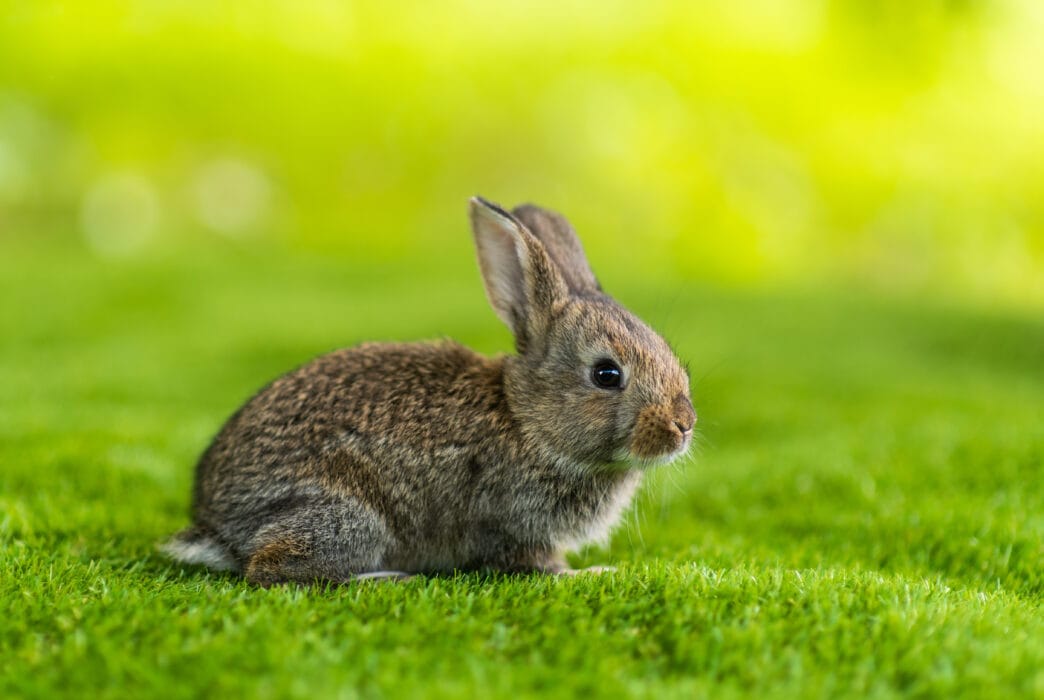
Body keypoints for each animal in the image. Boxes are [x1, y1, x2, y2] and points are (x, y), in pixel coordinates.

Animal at [162, 197, 696, 585]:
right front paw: (591, 573)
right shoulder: (509, 523)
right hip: (348, 518)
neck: (526, 421)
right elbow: (534, 565)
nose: (684, 425)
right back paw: (383, 577)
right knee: (271, 570)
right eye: (607, 374)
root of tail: (218, 528)